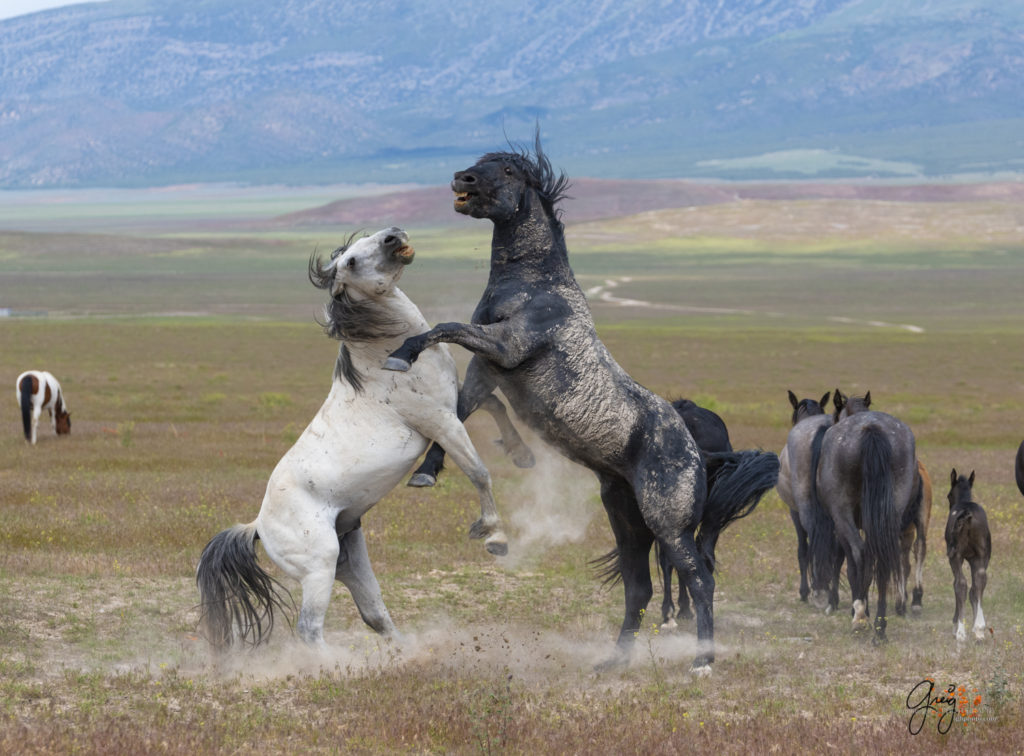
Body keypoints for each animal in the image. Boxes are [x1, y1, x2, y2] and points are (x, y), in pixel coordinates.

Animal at [194, 226, 507, 651]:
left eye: (371, 237)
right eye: (352, 261)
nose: (393, 236)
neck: (387, 358)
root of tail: (257, 526)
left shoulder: (455, 405)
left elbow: (493, 409)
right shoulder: (441, 421)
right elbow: (479, 472)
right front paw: (493, 535)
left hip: (350, 559)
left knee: (374, 613)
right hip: (320, 566)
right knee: (309, 629)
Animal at [385, 135, 774, 672]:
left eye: (507, 169)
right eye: (481, 163)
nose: (462, 179)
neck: (537, 287)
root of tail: (700, 454)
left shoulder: (505, 346)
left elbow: (443, 329)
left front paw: (400, 354)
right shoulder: (489, 368)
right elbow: (459, 415)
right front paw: (430, 472)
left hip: (669, 525)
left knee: (700, 579)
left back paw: (702, 661)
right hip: (628, 524)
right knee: (639, 589)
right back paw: (615, 661)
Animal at [942, 469, 991, 639]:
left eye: (949, 495)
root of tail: (966, 513)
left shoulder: (957, 556)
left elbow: (959, 584)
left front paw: (956, 625)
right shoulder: (976, 558)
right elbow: (974, 589)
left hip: (955, 556)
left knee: (961, 583)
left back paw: (961, 632)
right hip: (982, 555)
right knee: (979, 580)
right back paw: (980, 629)